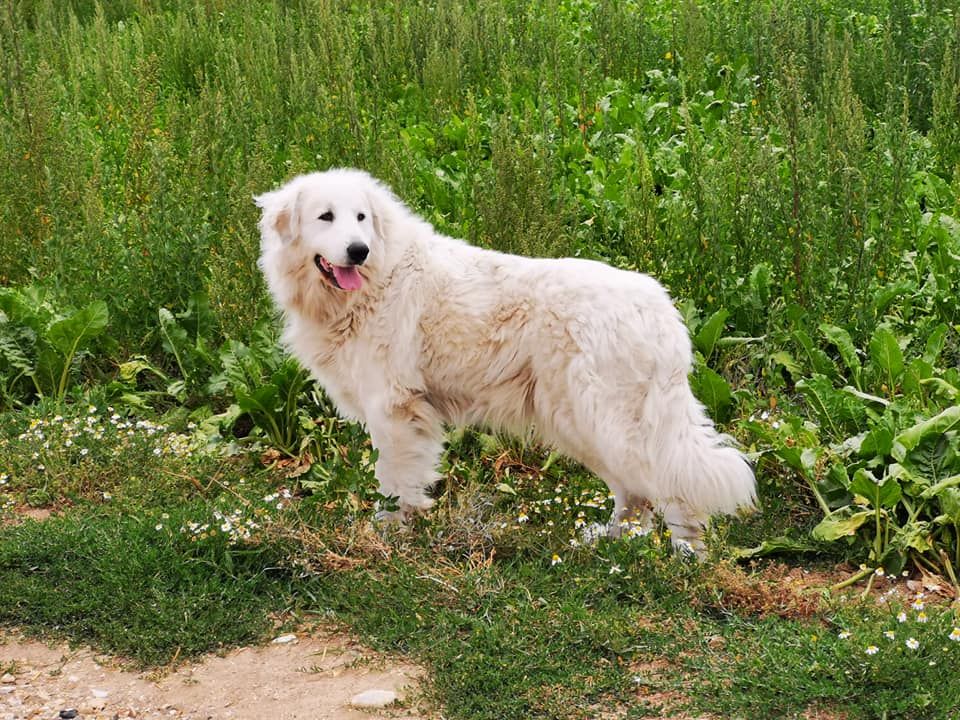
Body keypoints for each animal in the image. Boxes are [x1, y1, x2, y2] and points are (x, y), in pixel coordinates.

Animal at [255, 167, 756, 552]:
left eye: (361, 217)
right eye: (326, 217)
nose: (358, 250)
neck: (376, 281)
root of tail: (662, 309)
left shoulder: (393, 410)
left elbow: (395, 480)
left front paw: (391, 532)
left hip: (610, 424)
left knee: (669, 490)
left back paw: (686, 558)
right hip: (581, 425)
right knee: (635, 496)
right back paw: (609, 542)